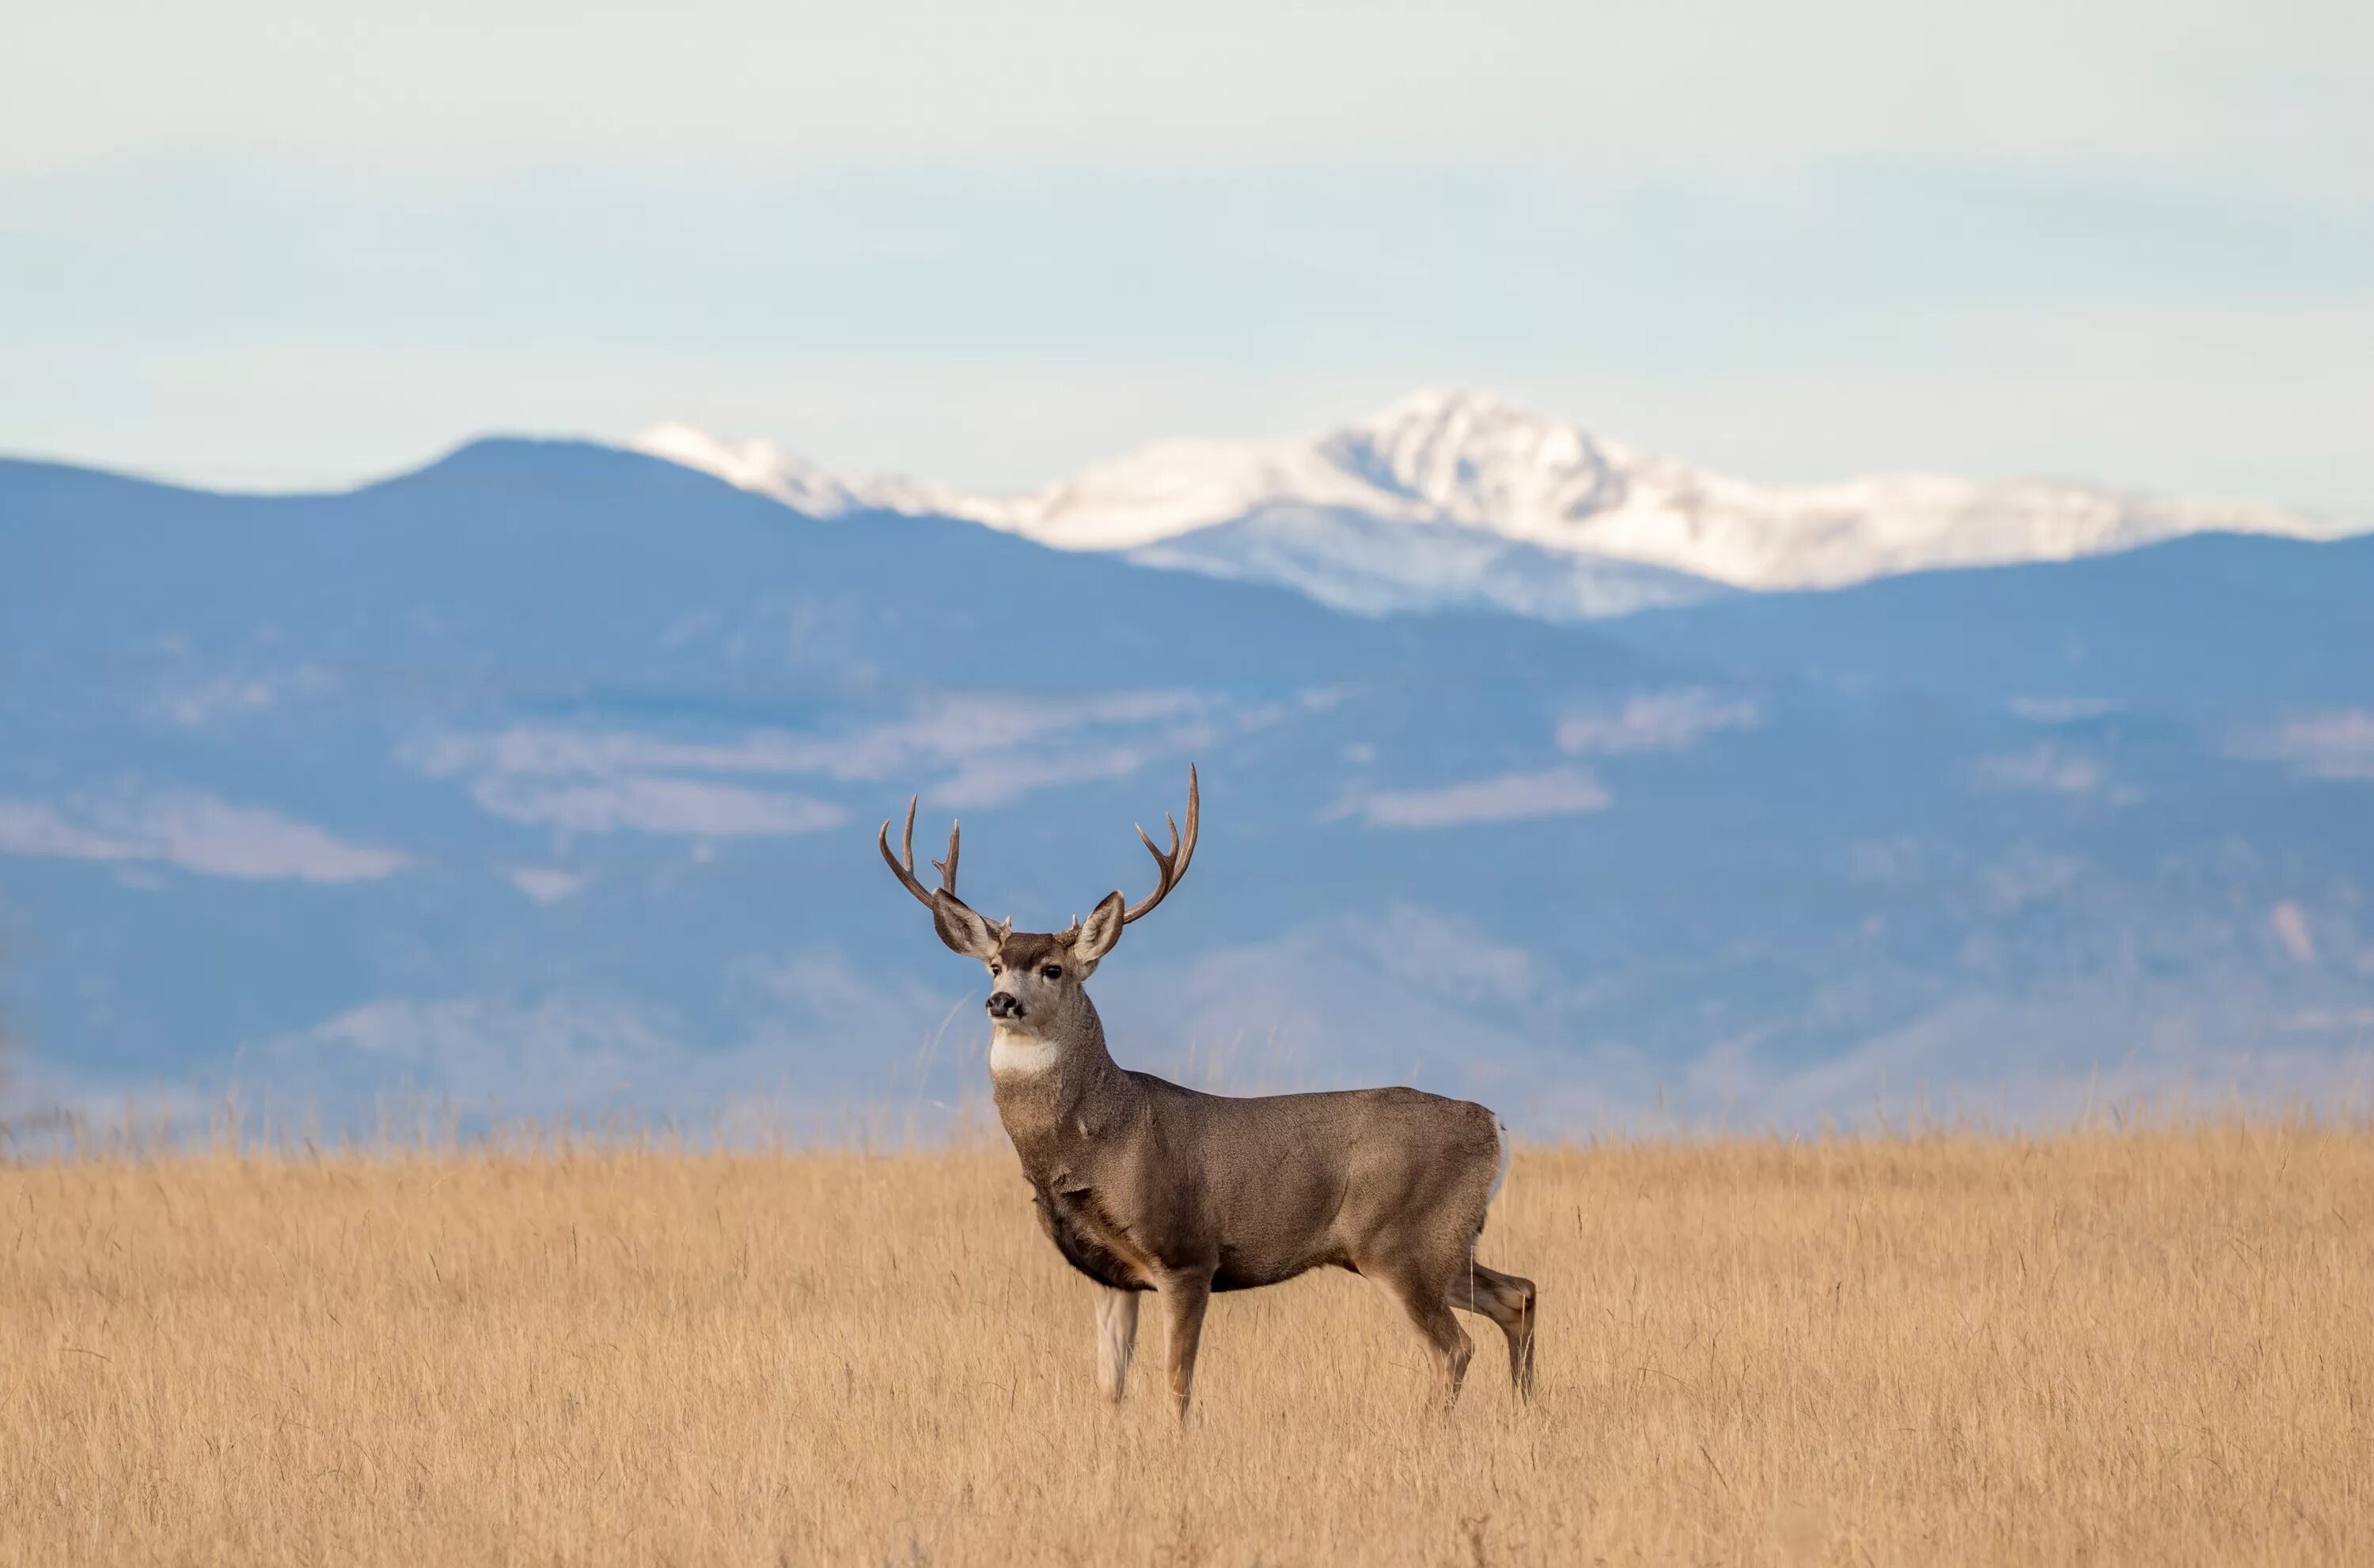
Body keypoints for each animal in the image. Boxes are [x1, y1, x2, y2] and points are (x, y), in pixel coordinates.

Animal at [878, 768, 1538, 1423]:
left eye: (1052, 969)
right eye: (993, 964)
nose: (1001, 1002)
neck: (1099, 1139)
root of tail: (1495, 1126)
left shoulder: (1186, 1253)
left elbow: (1177, 1381)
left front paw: (1174, 1439)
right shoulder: (1110, 1276)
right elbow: (1110, 1385)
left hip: (1399, 1241)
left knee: (1455, 1345)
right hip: (1442, 1243)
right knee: (1519, 1294)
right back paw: (1527, 1411)